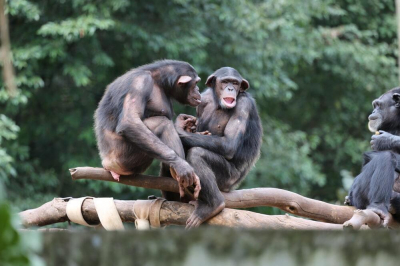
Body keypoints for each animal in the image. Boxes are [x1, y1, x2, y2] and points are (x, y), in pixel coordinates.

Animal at [175, 67, 262, 229]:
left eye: (235, 83)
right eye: (225, 82)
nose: (230, 88)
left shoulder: (244, 105)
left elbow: (228, 144)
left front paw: (178, 127)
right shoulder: (202, 100)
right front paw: (188, 126)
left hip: (228, 178)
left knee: (197, 153)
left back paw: (214, 205)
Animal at [346, 88, 400, 225]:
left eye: (378, 105)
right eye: (374, 106)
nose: (373, 111)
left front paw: (385, 140)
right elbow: (370, 156)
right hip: (359, 193)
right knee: (385, 157)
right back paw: (378, 207)